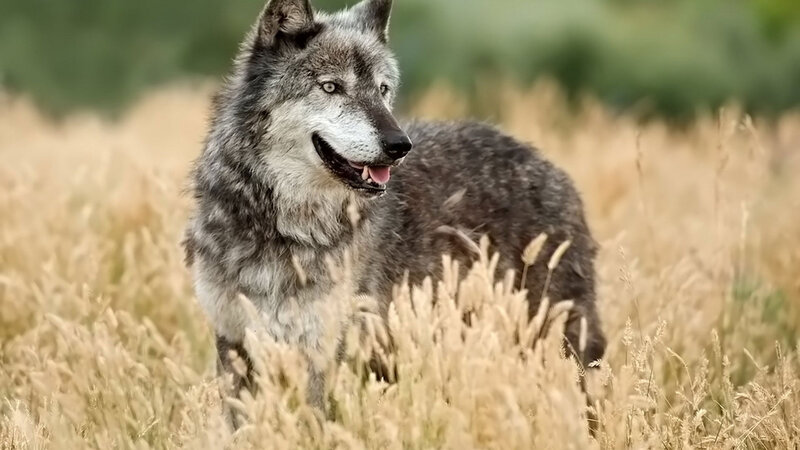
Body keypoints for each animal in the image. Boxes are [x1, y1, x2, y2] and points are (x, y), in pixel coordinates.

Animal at [184, 0, 606, 428]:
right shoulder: (235, 344)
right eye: (331, 87)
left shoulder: (325, 352)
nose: (399, 145)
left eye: (383, 90)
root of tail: (550, 167)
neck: (283, 226)